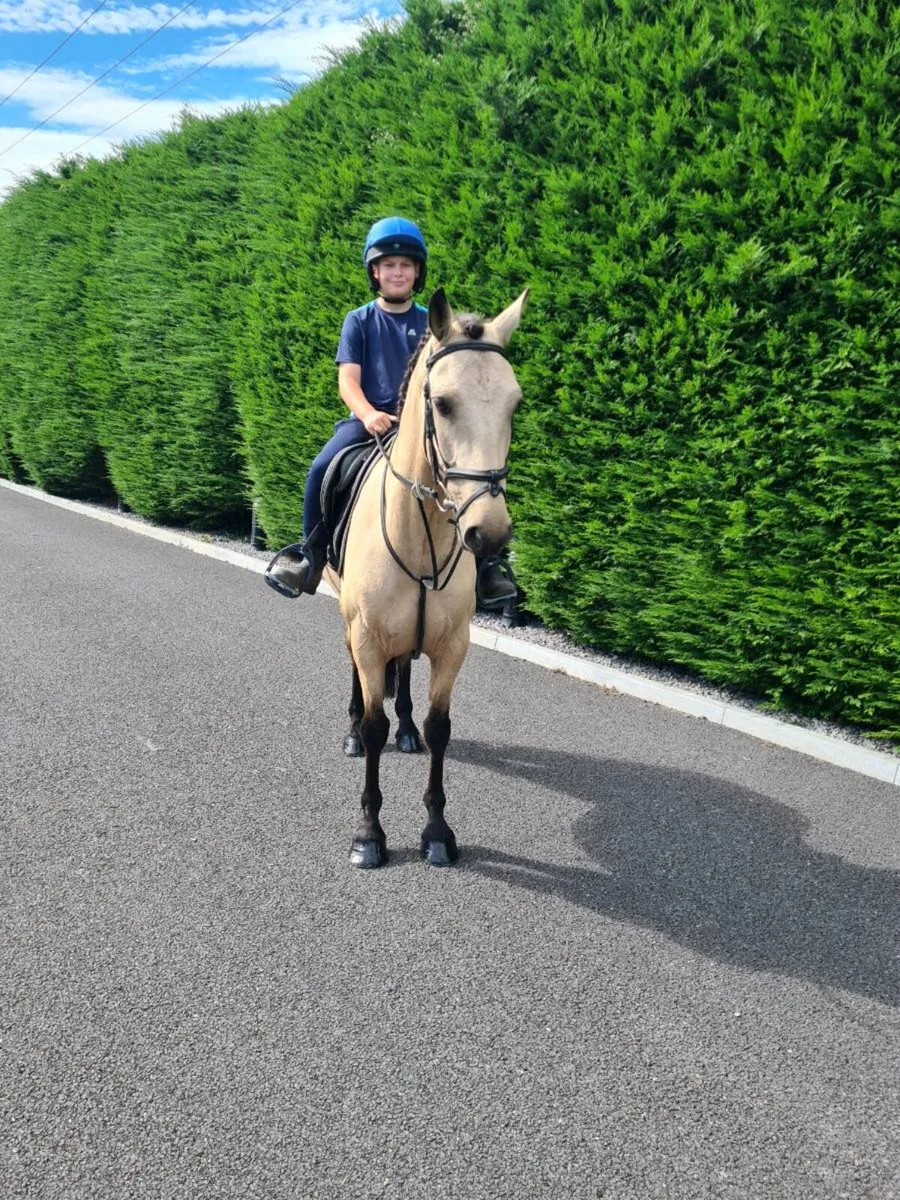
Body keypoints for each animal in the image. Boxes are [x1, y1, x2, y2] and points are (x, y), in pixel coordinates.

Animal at [325, 286, 528, 868]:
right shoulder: (368, 637)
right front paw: (369, 834)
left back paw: (408, 730)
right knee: (356, 678)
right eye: (442, 404)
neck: (421, 535)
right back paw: (352, 731)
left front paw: (437, 831)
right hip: (349, 622)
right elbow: (375, 726)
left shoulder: (452, 644)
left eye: (514, 403)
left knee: (406, 675)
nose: (489, 532)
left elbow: (441, 729)